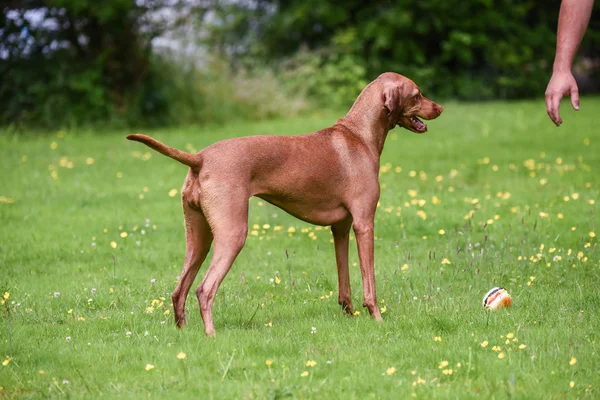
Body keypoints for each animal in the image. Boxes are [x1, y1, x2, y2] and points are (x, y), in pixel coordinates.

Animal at [127, 72, 440, 334]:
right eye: (417, 94)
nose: (440, 108)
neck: (358, 135)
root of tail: (199, 158)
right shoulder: (364, 224)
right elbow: (369, 285)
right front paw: (377, 319)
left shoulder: (340, 228)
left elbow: (345, 285)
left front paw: (349, 316)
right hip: (232, 234)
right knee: (204, 289)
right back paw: (211, 335)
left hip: (199, 238)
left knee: (179, 289)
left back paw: (183, 333)